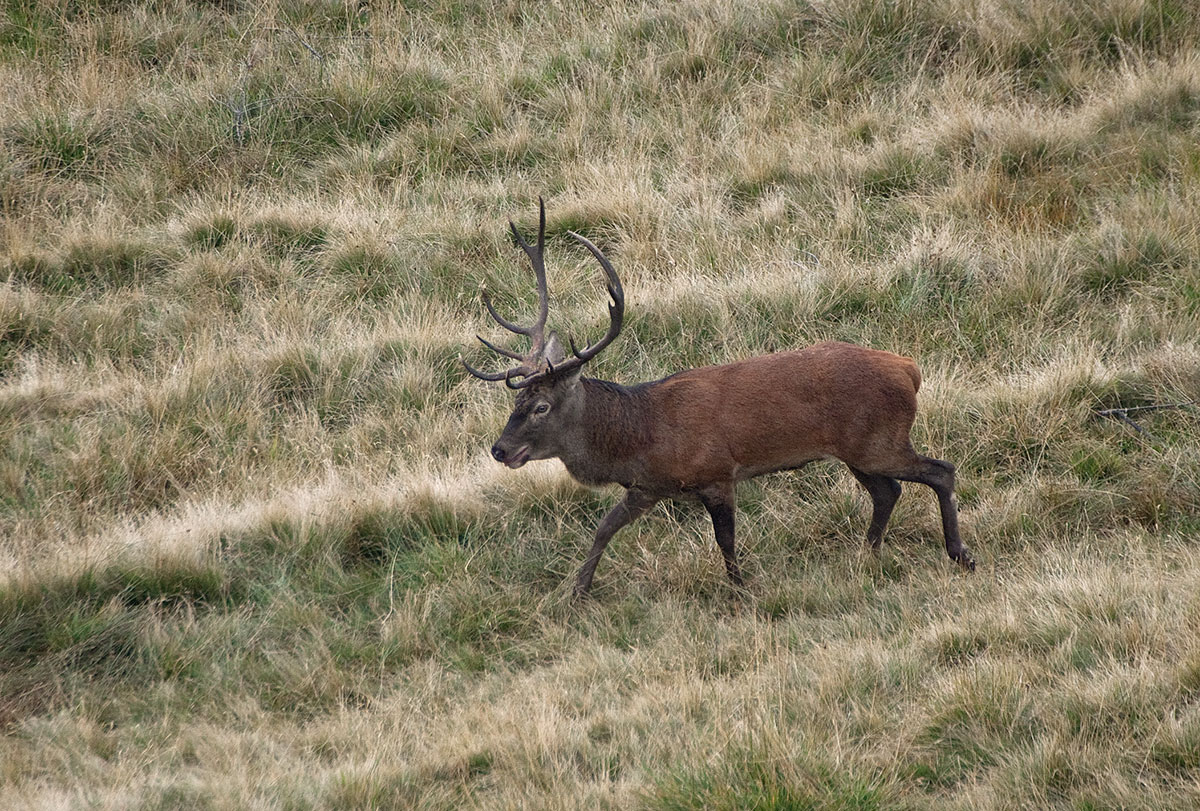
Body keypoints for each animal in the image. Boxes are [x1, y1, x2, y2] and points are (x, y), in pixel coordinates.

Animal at [464, 200, 975, 598]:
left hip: (880, 440)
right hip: (857, 450)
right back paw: (867, 553)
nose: (500, 449)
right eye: (515, 404)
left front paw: (740, 590)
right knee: (888, 491)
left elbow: (725, 540)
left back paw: (959, 554)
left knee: (940, 470)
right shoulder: (647, 488)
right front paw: (578, 592)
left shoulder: (716, 472)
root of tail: (909, 369)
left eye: (541, 407)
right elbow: (604, 528)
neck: (643, 437)